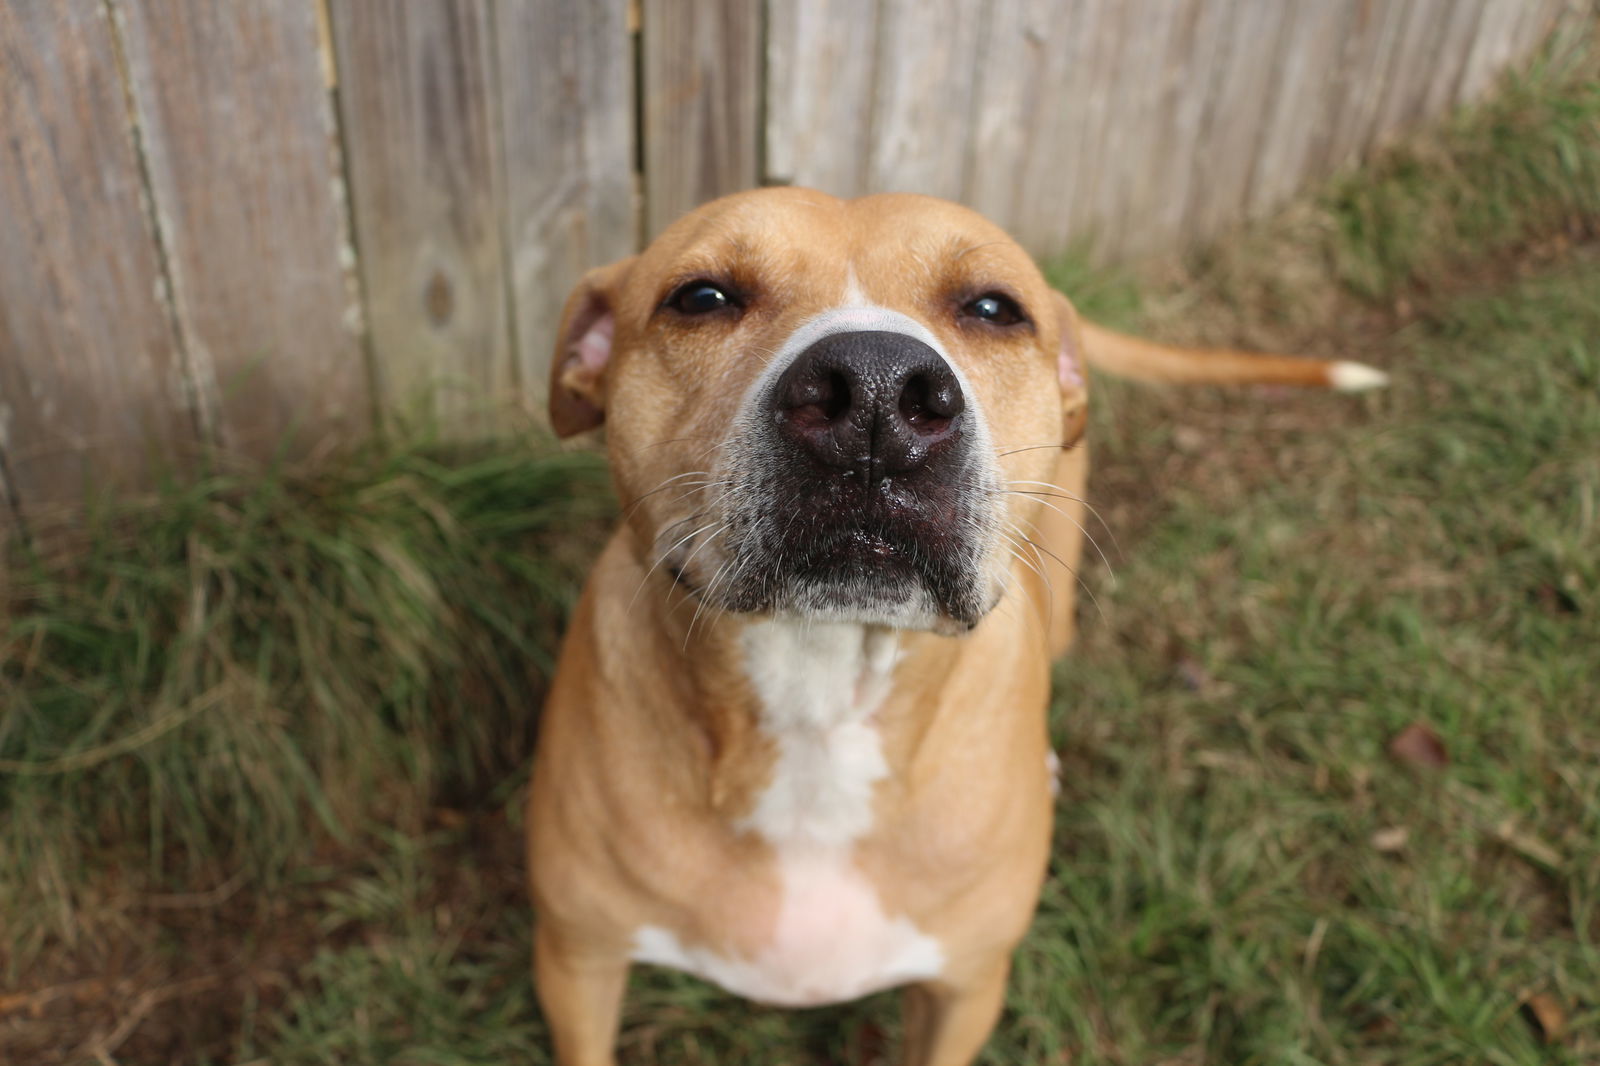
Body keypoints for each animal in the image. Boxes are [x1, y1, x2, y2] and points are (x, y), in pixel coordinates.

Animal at [528, 186, 1388, 1056]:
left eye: (993, 309)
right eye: (701, 298)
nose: (874, 394)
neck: (820, 706)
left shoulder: (965, 990)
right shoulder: (576, 963)